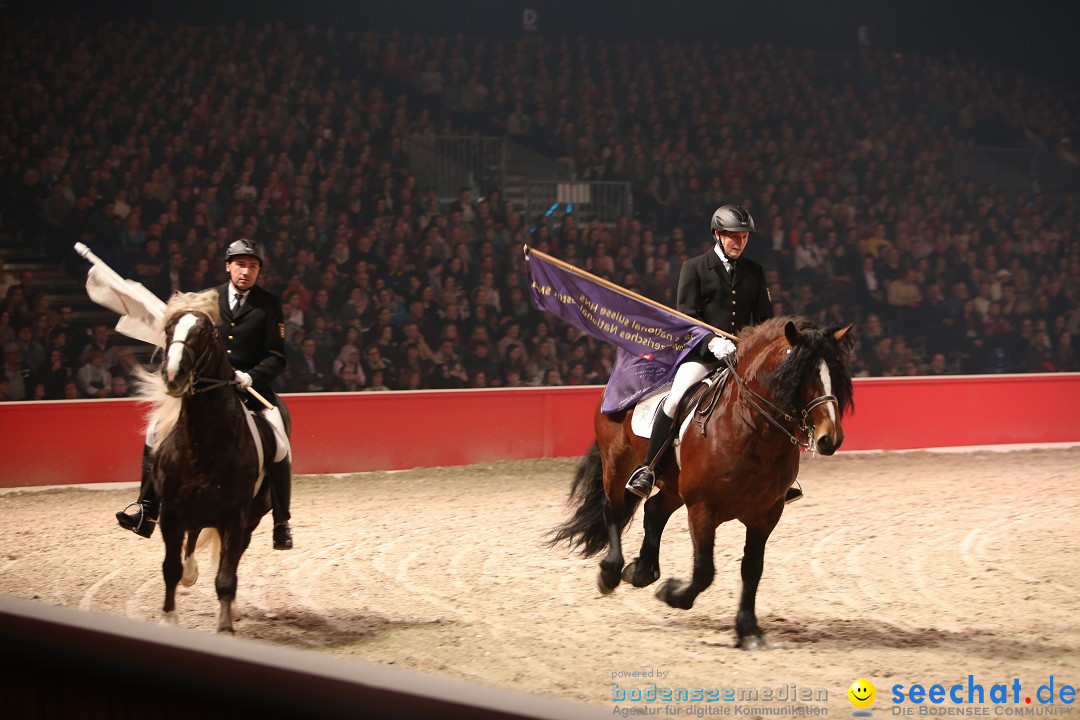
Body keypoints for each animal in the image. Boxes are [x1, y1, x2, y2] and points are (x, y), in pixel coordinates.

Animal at [137, 289, 274, 634]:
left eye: (204, 334)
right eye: (168, 330)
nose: (173, 376)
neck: (201, 445)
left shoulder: (235, 518)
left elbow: (226, 575)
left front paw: (225, 626)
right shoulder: (172, 515)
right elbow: (170, 568)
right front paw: (168, 618)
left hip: (248, 520)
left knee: (232, 560)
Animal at [552, 317, 855, 651]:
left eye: (837, 375)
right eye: (800, 374)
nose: (830, 439)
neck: (751, 432)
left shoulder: (766, 514)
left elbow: (752, 569)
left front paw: (749, 629)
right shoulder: (702, 508)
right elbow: (704, 571)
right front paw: (672, 594)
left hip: (673, 485)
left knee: (654, 509)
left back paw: (642, 571)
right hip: (617, 463)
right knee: (614, 510)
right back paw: (611, 572)